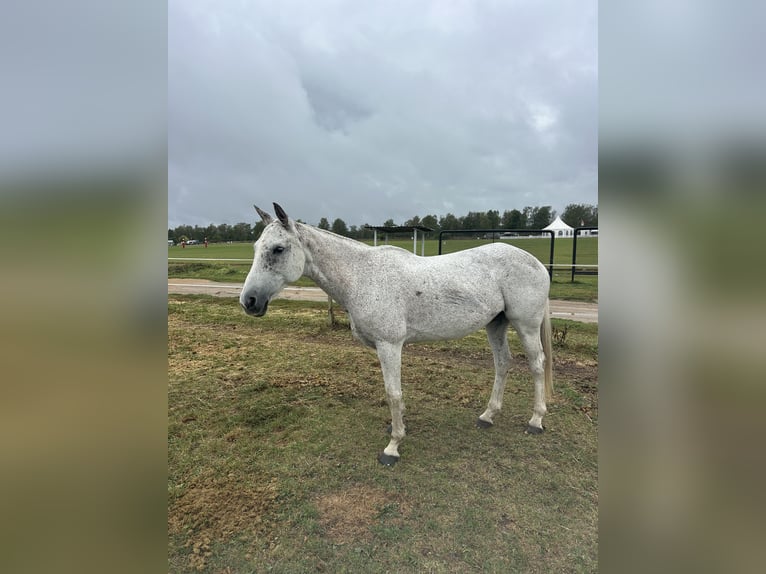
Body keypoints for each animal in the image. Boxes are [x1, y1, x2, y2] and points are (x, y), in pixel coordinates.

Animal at [240, 203, 553, 466]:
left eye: (278, 249)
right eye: (255, 247)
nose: (249, 301)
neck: (363, 276)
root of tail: (536, 262)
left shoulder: (389, 345)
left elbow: (393, 393)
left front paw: (393, 447)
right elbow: (394, 394)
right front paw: (398, 425)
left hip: (525, 325)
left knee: (537, 364)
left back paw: (536, 421)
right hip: (496, 324)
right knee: (503, 363)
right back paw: (488, 416)